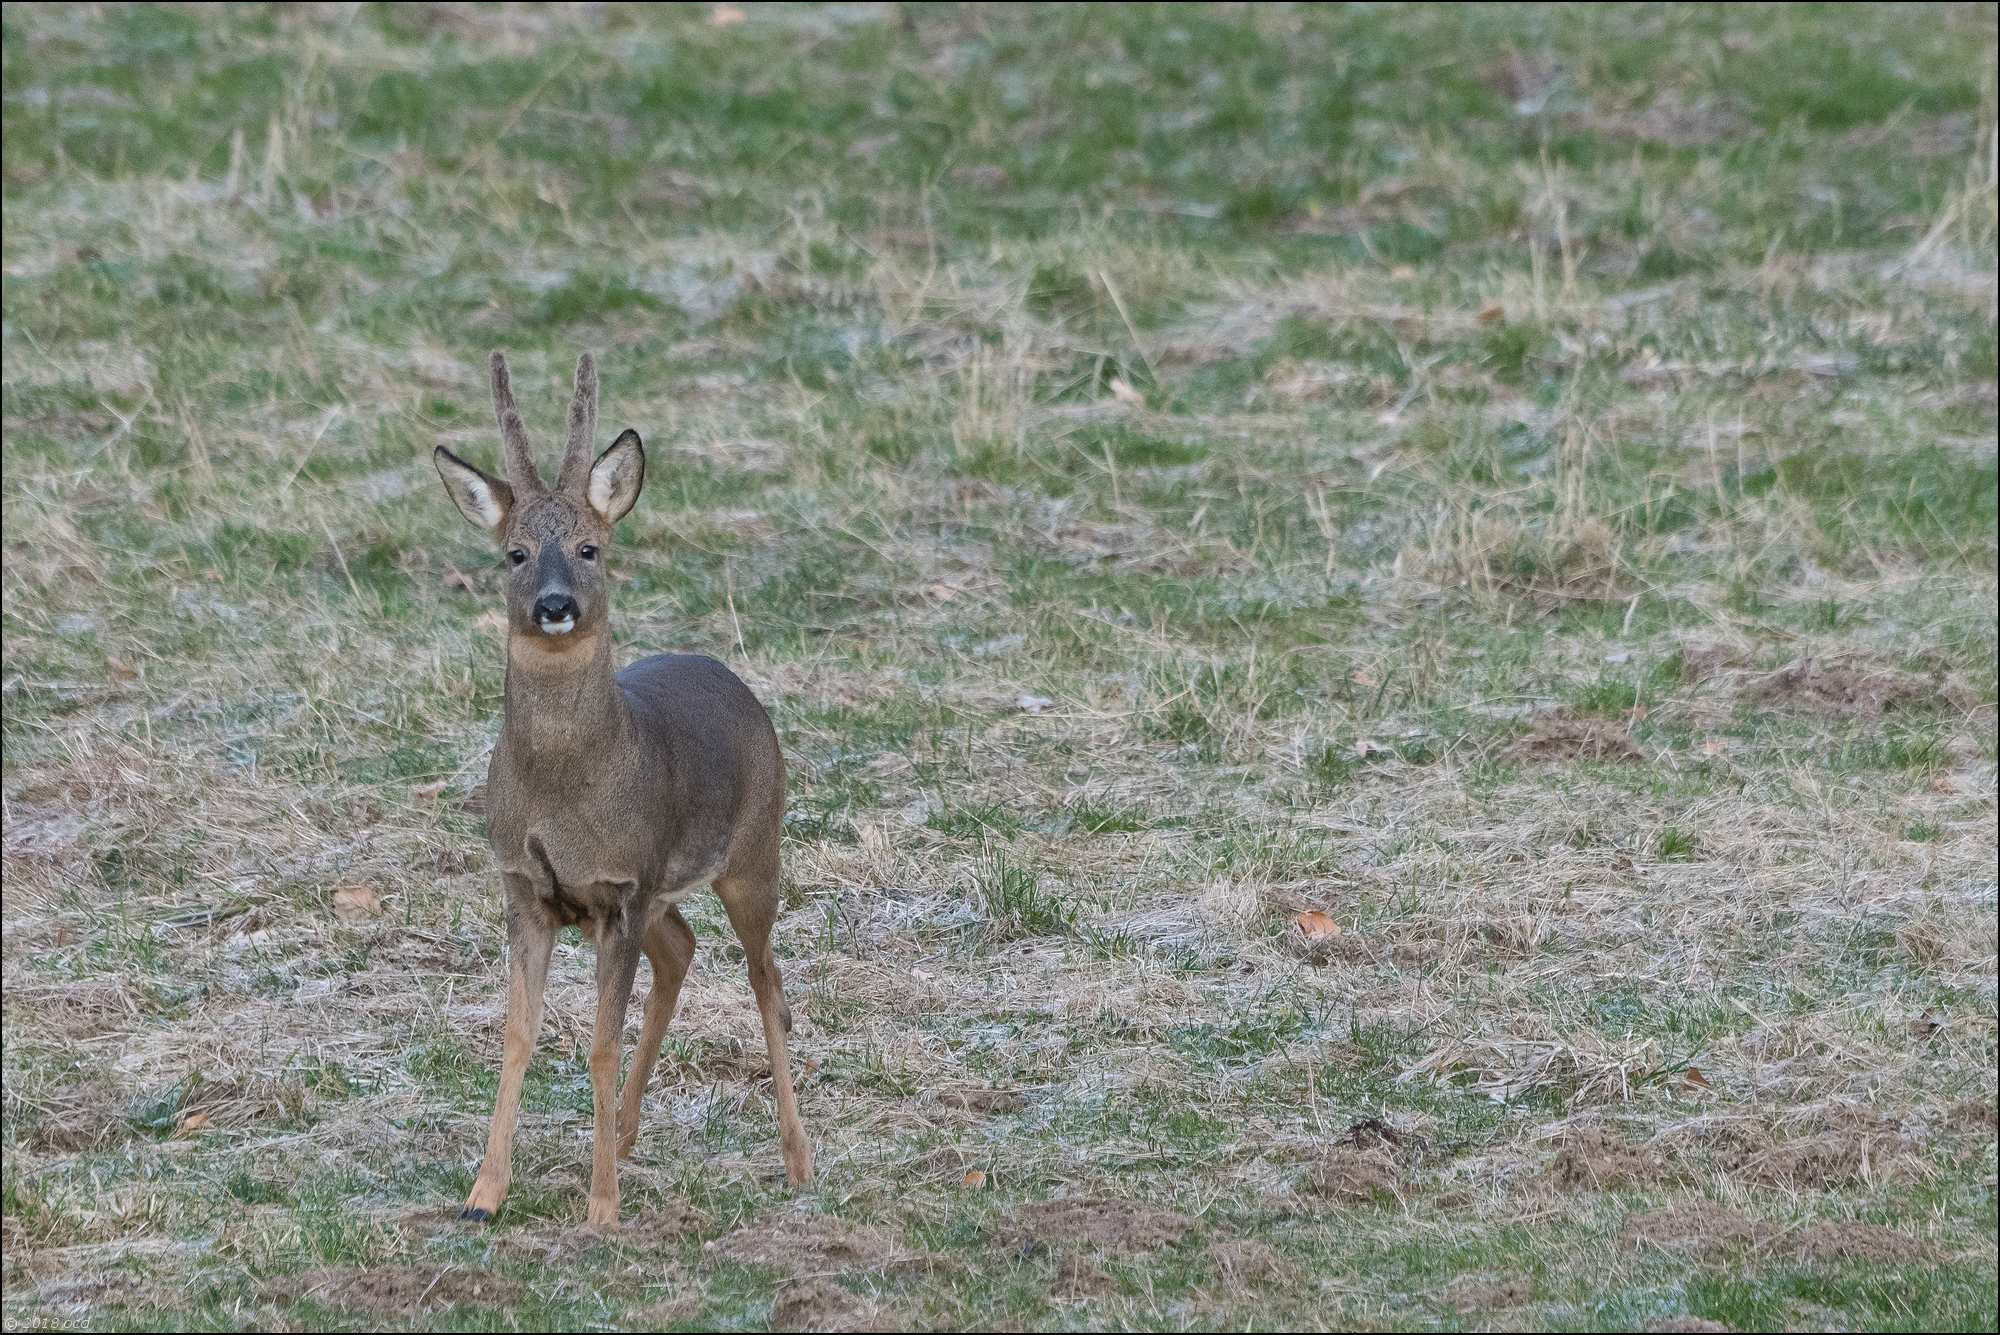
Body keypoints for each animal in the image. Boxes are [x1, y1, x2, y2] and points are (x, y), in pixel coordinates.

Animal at [438, 349, 812, 1223]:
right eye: (513, 552)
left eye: (589, 546)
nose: (554, 605)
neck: (564, 793)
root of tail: (731, 678)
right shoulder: (527, 886)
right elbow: (518, 1033)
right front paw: (484, 1193)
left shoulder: (620, 888)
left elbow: (602, 1043)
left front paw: (602, 1208)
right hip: (665, 890)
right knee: (684, 951)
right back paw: (632, 1132)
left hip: (753, 853)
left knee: (768, 980)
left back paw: (799, 1160)